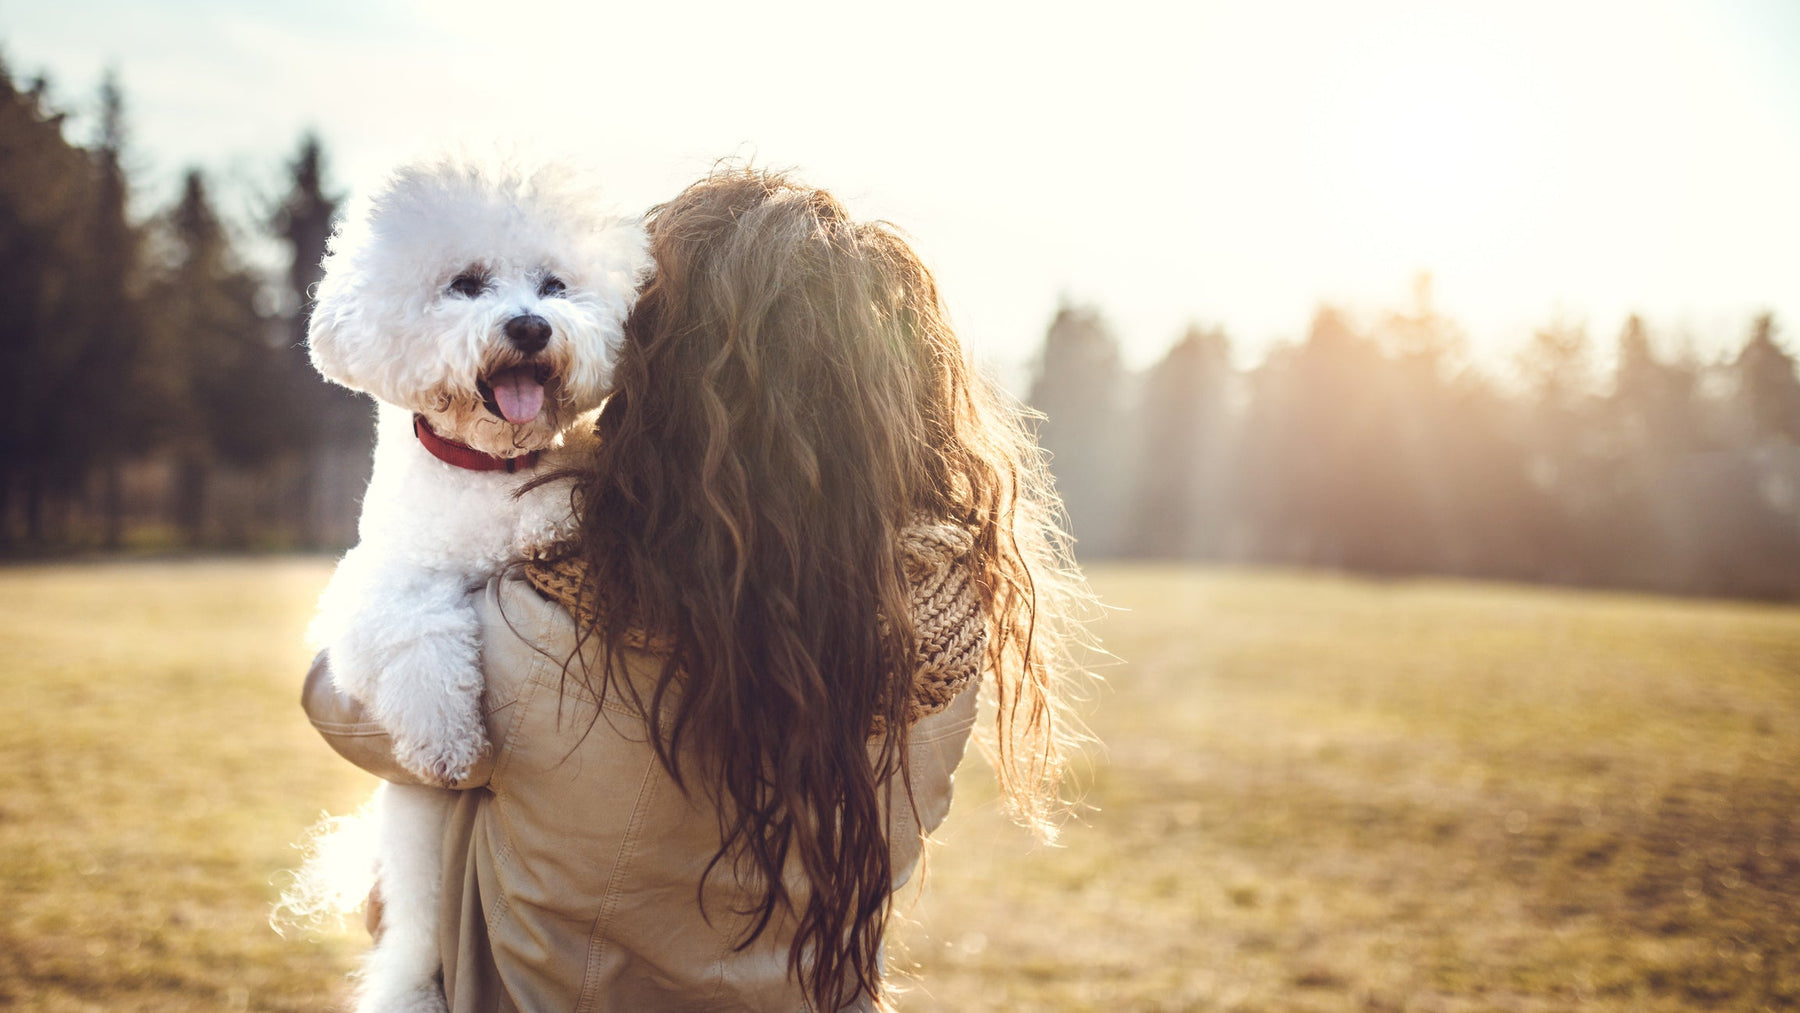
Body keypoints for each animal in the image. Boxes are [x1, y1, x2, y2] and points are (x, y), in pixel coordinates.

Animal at [306, 156, 651, 1013]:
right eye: (465, 283)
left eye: (555, 285)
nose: (529, 326)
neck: (488, 466)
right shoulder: (372, 590)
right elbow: (420, 634)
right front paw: (447, 743)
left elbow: (569, 484)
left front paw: (550, 518)